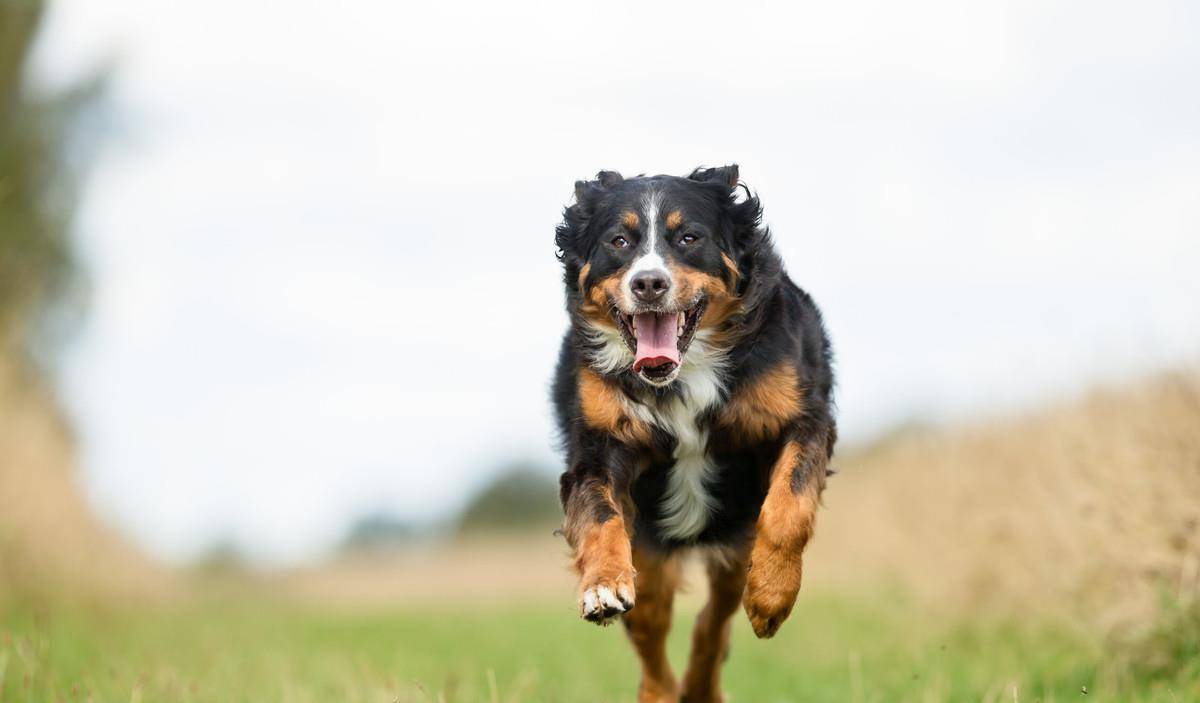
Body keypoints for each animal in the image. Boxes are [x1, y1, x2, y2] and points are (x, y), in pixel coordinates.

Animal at [549, 165, 835, 700]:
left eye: (688, 238)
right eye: (619, 241)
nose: (648, 283)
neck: (682, 374)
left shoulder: (804, 419)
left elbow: (790, 505)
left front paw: (772, 597)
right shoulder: (599, 445)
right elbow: (599, 513)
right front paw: (601, 586)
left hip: (735, 539)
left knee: (715, 618)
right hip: (650, 550)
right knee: (650, 628)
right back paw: (662, 691)